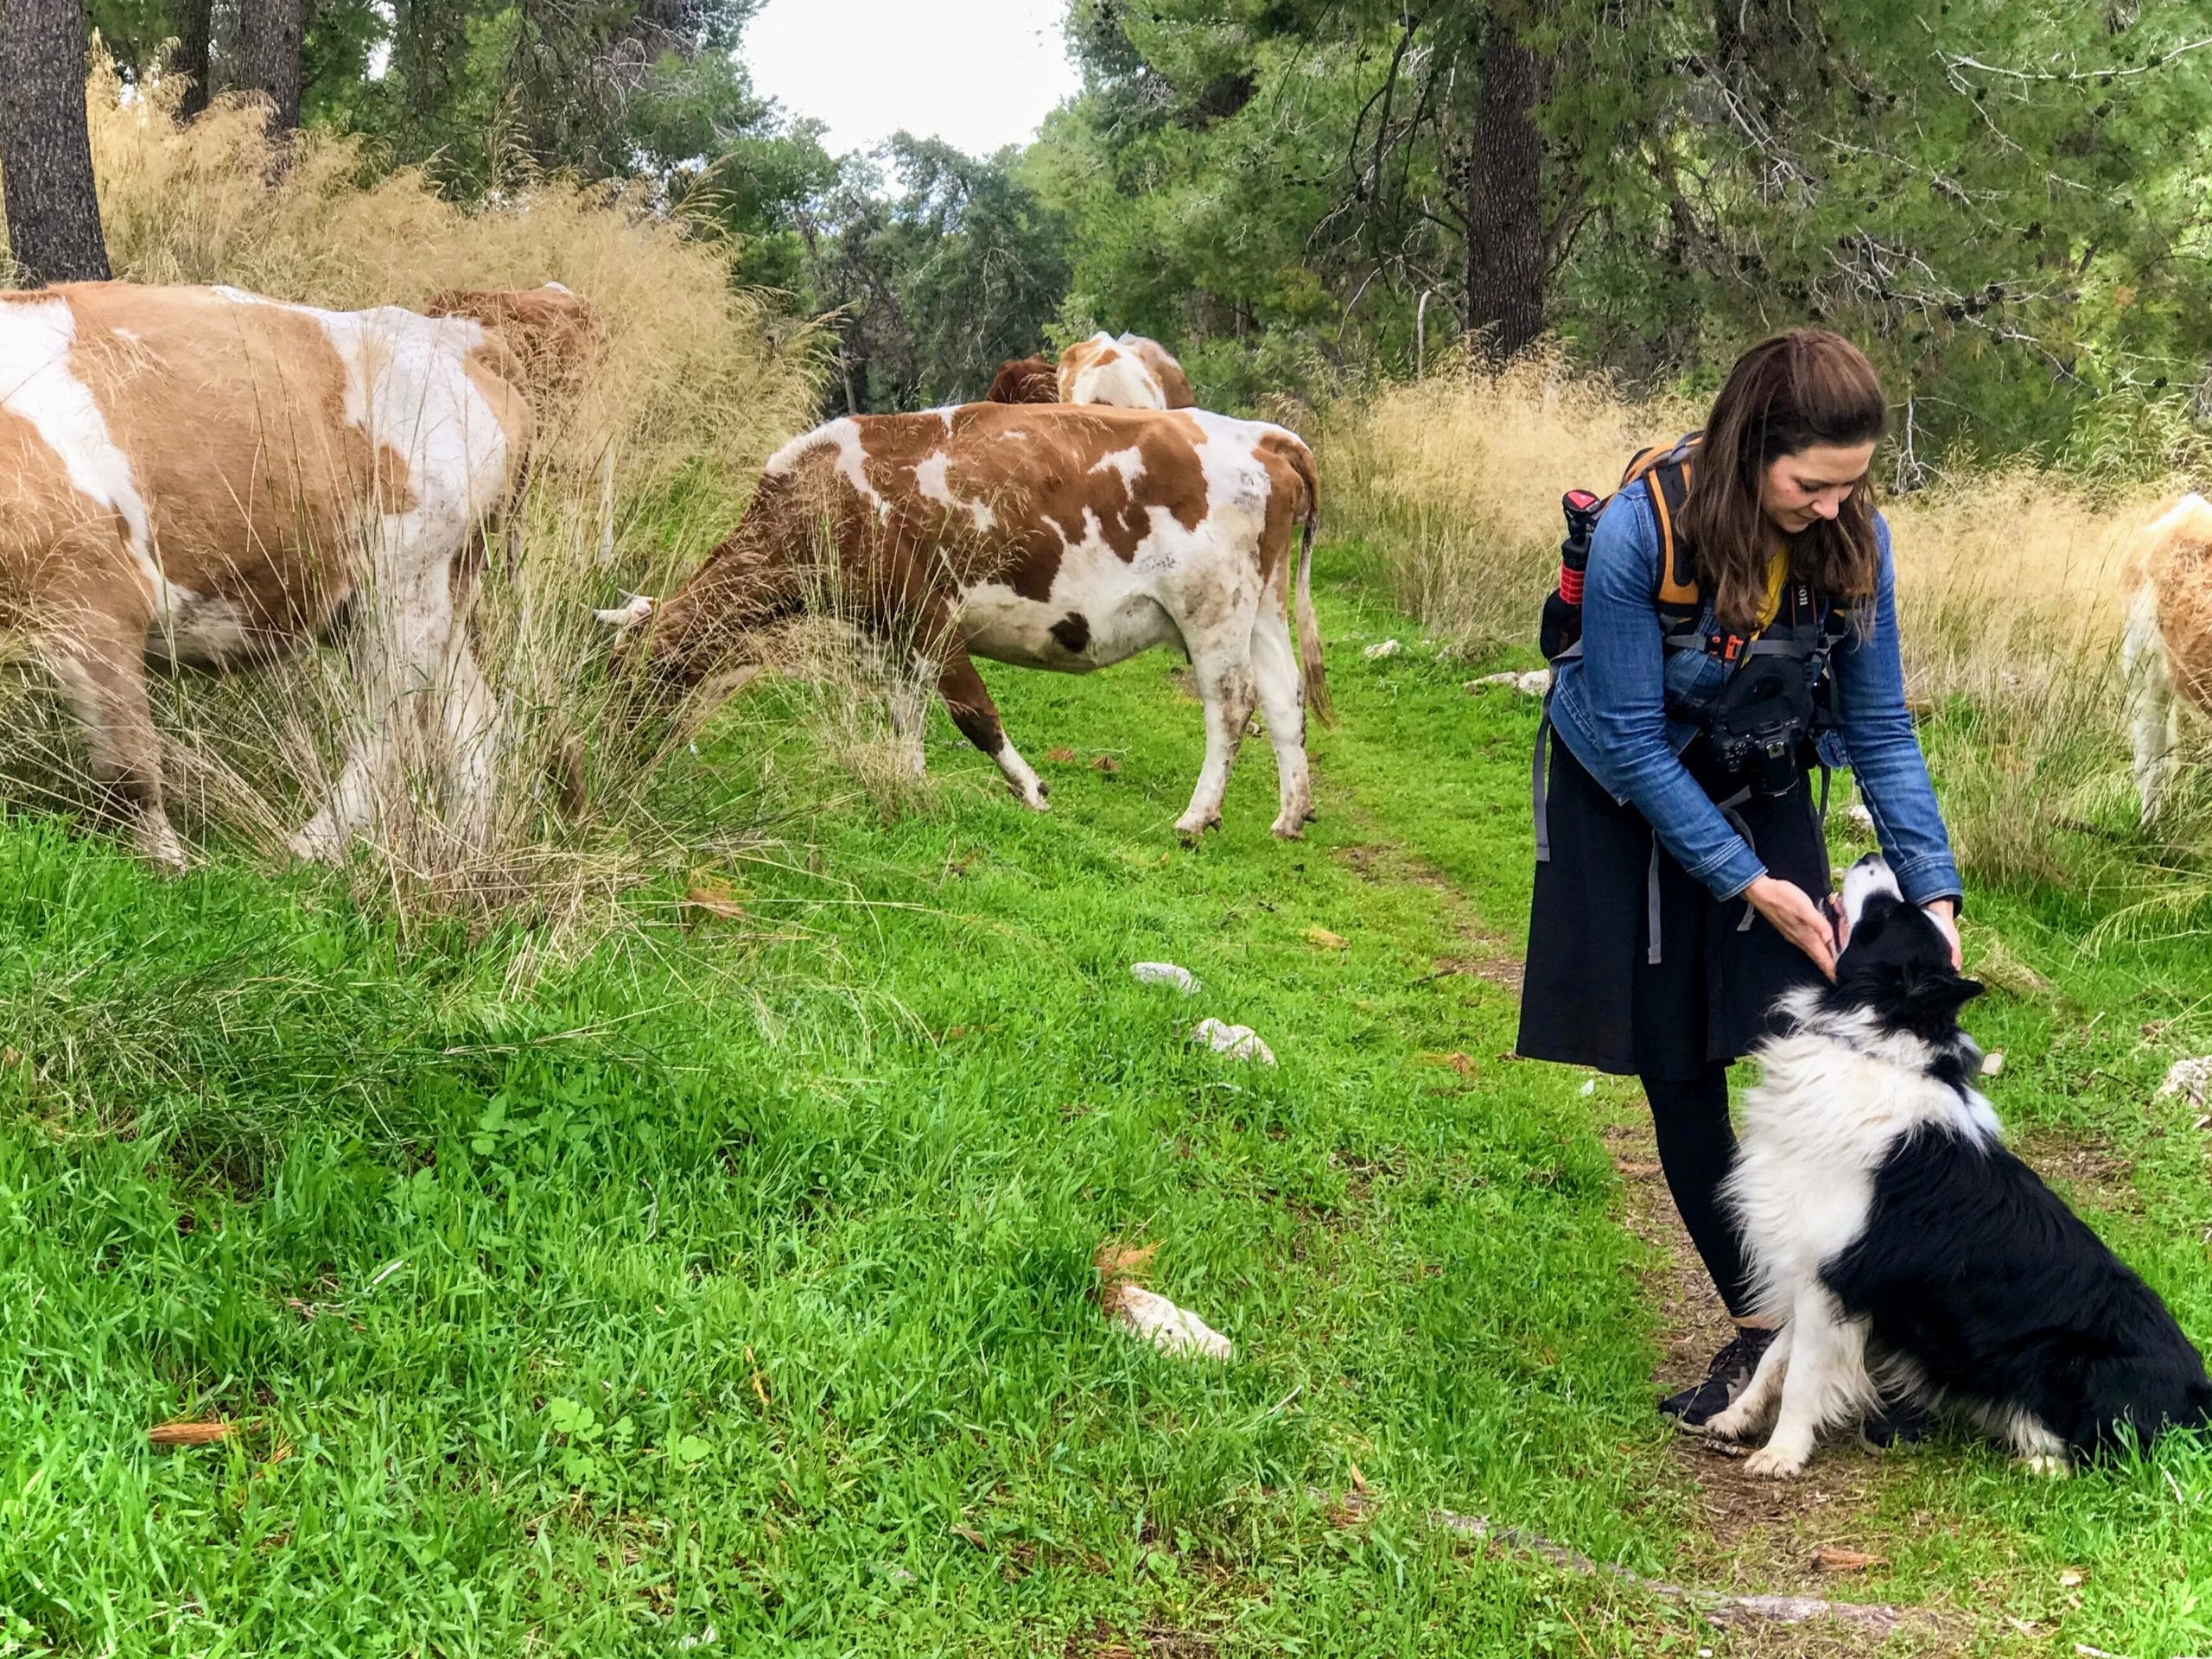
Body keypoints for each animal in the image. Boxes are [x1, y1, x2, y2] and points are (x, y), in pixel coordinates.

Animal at [2, 283, 553, 871]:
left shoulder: (95, 598)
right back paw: (465, 855)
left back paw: (310, 850)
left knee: (387, 732)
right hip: (431, 592)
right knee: (475, 725)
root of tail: (455, 338)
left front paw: (171, 869)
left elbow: (128, 773)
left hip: (404, 583)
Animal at [623, 404, 1336, 844]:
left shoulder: (927, 615)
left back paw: (1197, 815)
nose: (616, 753)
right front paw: (909, 781)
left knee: (1232, 703)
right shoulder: (891, 635)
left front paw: (1031, 789)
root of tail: (1262, 435)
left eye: (633, 682)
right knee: (1284, 697)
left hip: (1213, 608)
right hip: (1261, 608)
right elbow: (905, 715)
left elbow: (974, 713)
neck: (820, 498)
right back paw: (1290, 815)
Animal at [1699, 858, 2202, 1478]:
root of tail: (2198, 1395)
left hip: (2062, 1360)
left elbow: (1802, 1375)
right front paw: (1738, 1416)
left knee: (2090, 1454)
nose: (1872, 859)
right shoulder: (1815, 1268)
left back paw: (2031, 1464)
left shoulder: (1830, 1276)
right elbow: (1777, 1355)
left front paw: (1781, 1454)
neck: (1871, 1039)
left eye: (1888, 916)